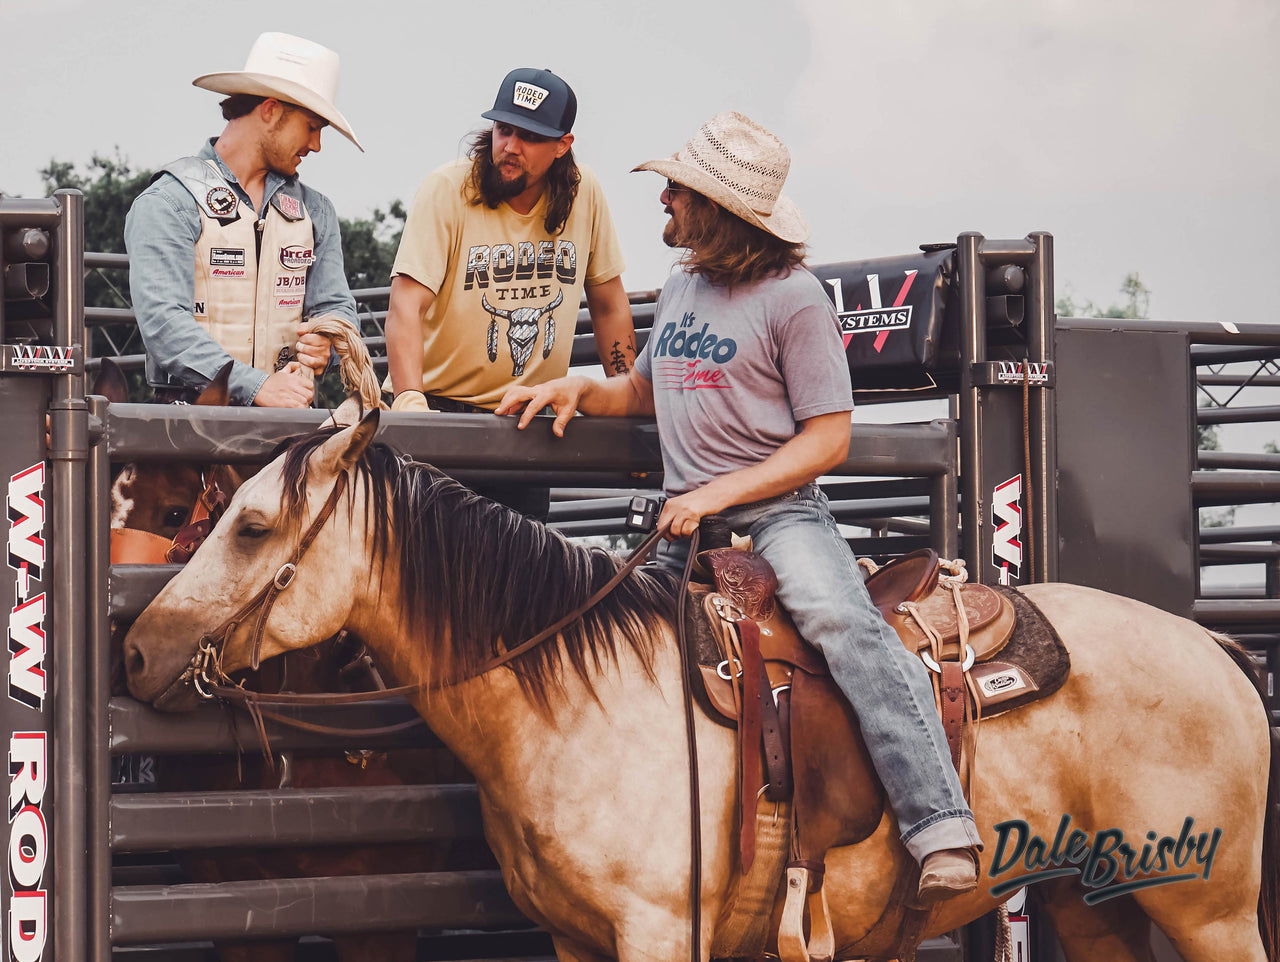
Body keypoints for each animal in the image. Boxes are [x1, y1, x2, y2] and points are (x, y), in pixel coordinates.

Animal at [122, 411, 1280, 961]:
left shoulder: (657, 934)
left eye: (250, 526)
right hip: (1097, 903)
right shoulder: (574, 938)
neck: (577, 703)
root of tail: (1214, 648)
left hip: (1209, 906)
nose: (135, 650)